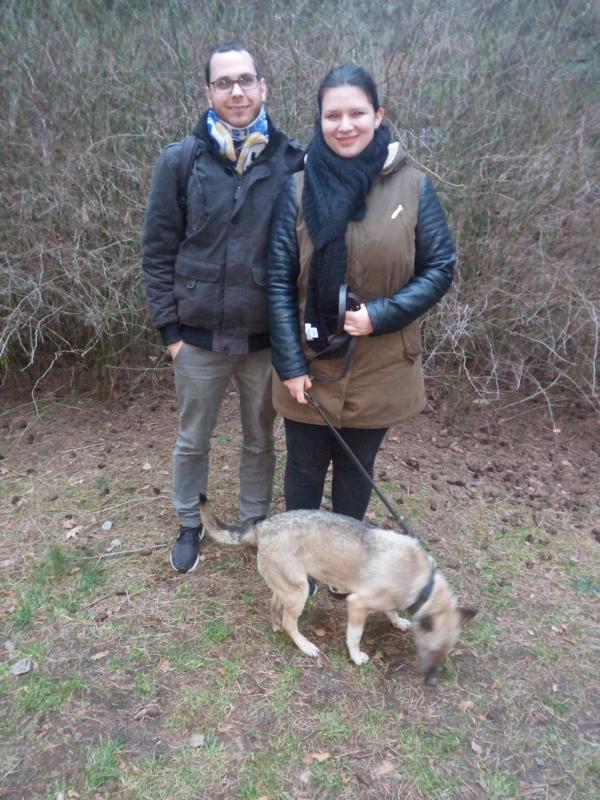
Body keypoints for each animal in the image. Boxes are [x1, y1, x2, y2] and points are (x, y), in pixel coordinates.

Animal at [199, 496, 477, 685]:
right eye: (432, 650)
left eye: (445, 652)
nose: (432, 682)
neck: (423, 583)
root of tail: (262, 527)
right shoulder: (357, 604)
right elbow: (354, 636)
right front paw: (356, 657)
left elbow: (391, 611)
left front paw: (398, 622)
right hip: (299, 592)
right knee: (290, 622)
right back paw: (305, 645)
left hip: (287, 586)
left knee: (275, 606)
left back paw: (276, 624)